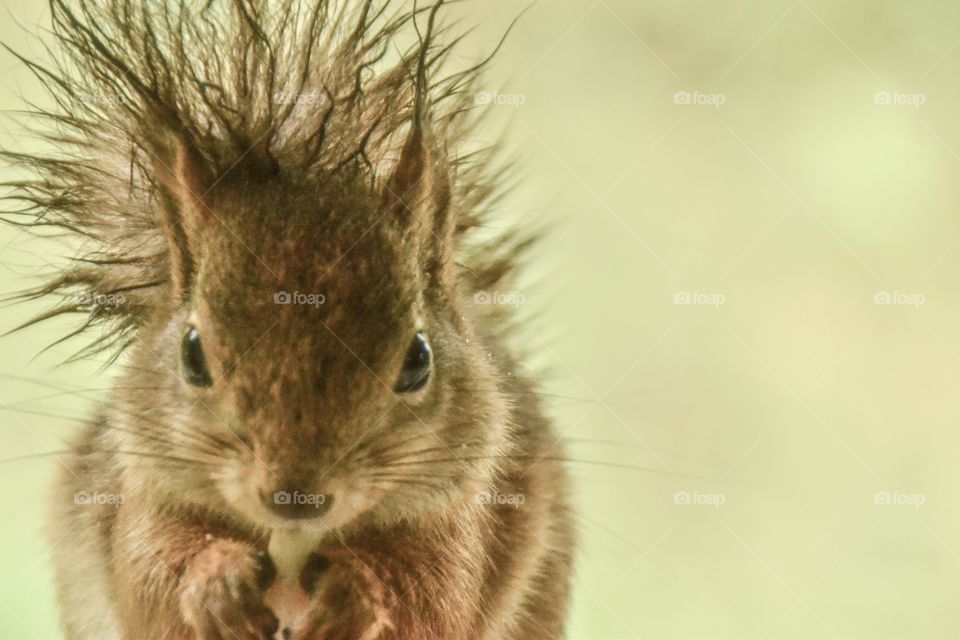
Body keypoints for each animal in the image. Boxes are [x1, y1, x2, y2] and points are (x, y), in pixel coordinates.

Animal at [3, 1, 572, 640]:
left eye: (418, 361)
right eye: (192, 355)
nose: (294, 497)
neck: (293, 545)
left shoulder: (459, 522)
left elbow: (433, 596)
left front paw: (356, 592)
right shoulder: (140, 498)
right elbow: (152, 574)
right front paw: (216, 582)